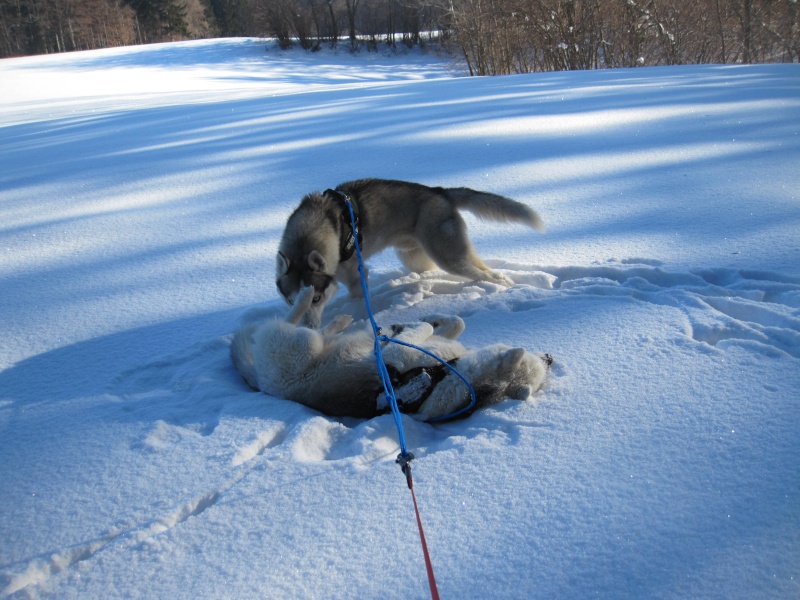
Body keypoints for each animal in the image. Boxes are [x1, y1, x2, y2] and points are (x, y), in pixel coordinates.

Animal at [230, 286, 552, 422]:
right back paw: (342, 320)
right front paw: (431, 318)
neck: (449, 369)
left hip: (302, 343)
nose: (550, 358)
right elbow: (454, 323)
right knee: (315, 327)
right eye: (540, 365)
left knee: (292, 320)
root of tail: (259, 382)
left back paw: (309, 299)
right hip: (310, 342)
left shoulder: (397, 355)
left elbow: (419, 329)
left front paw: (411, 324)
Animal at [276, 178, 544, 328]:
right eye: (291, 301)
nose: (308, 328)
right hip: (417, 257)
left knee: (490, 273)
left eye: (316, 299)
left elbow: (359, 298)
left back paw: (501, 286)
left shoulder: (355, 274)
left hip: (448, 256)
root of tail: (440, 191)